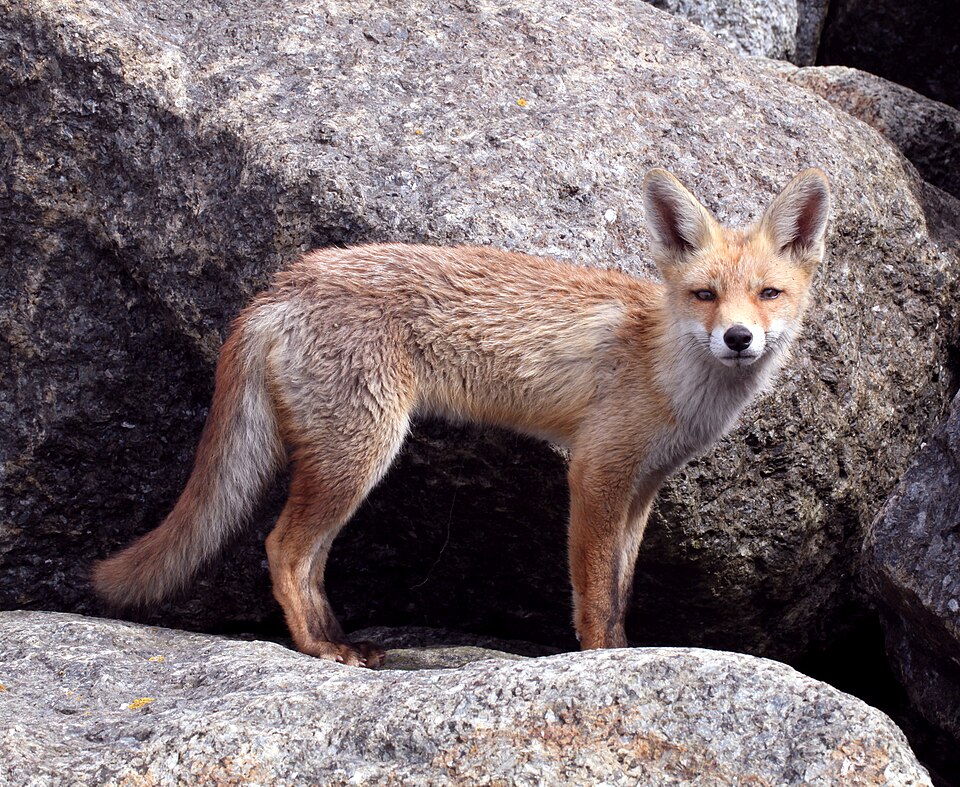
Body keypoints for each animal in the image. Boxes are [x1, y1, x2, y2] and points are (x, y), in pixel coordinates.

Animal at [93, 167, 830, 667]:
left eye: (769, 294)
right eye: (704, 294)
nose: (738, 338)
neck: (665, 367)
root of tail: (284, 283)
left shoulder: (643, 485)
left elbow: (620, 588)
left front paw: (627, 653)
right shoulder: (596, 471)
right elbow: (595, 595)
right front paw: (602, 662)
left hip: (345, 458)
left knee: (308, 556)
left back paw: (336, 637)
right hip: (361, 451)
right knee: (283, 548)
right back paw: (322, 648)